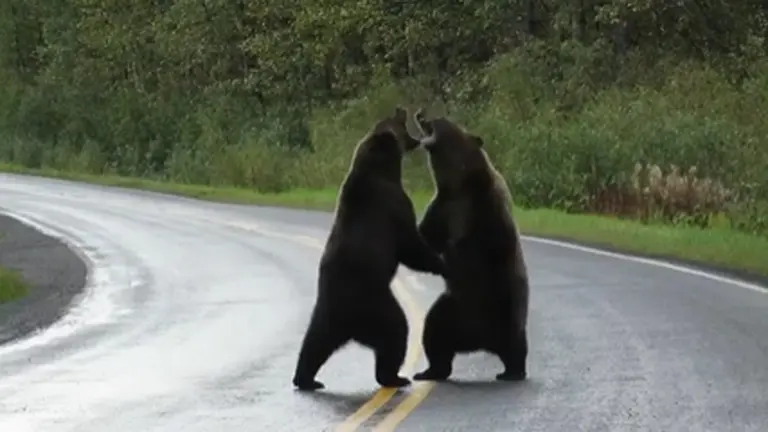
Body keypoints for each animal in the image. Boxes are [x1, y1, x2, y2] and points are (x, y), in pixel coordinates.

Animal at [291, 106, 448, 391]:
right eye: (397, 121)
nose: (401, 109)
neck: (382, 167)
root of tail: (348, 325)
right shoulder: (393, 204)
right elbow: (410, 246)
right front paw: (440, 262)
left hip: (324, 314)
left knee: (313, 344)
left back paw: (307, 379)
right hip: (377, 306)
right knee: (396, 333)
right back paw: (395, 377)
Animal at [409, 109, 530, 382]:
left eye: (442, 118)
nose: (421, 113)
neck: (459, 184)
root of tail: (481, 342)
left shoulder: (484, 208)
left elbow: (484, 246)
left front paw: (454, 251)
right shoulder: (442, 208)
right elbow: (425, 237)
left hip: (506, 307)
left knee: (516, 342)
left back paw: (513, 371)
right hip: (452, 309)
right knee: (435, 333)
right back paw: (430, 371)